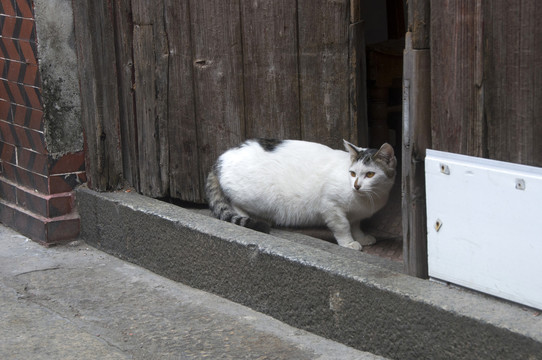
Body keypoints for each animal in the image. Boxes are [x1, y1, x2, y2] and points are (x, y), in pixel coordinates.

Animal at [206, 138, 398, 250]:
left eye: (370, 174)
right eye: (352, 173)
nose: (356, 185)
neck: (367, 198)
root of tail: (220, 158)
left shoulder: (356, 214)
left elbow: (356, 225)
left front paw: (361, 237)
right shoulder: (330, 206)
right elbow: (343, 226)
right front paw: (348, 243)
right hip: (252, 196)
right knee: (236, 205)